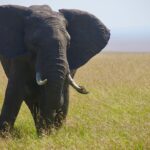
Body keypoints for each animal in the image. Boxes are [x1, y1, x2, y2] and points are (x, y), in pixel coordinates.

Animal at [0, 4, 110, 135]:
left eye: (69, 43)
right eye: (34, 43)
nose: (84, 89)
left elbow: (62, 92)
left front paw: (50, 134)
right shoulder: (19, 56)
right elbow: (14, 90)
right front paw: (5, 136)